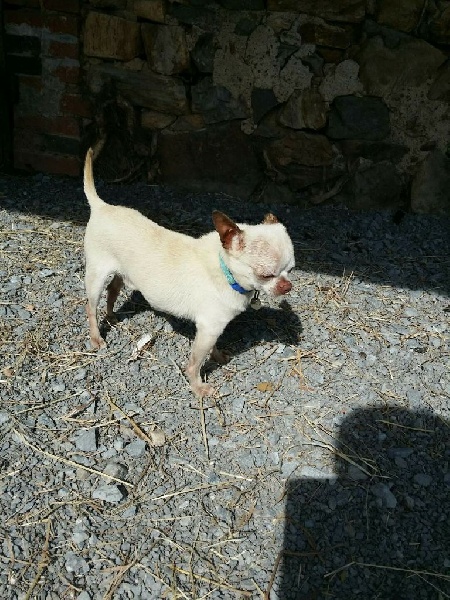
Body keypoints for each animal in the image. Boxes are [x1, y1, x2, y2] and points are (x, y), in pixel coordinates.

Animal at [83, 148, 296, 396]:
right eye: (266, 275)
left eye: (291, 270)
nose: (287, 286)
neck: (224, 271)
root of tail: (101, 206)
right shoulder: (208, 328)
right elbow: (195, 363)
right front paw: (198, 388)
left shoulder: (213, 329)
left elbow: (213, 348)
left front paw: (218, 356)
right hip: (96, 275)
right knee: (91, 306)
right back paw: (96, 337)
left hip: (121, 273)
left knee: (113, 289)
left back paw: (111, 316)